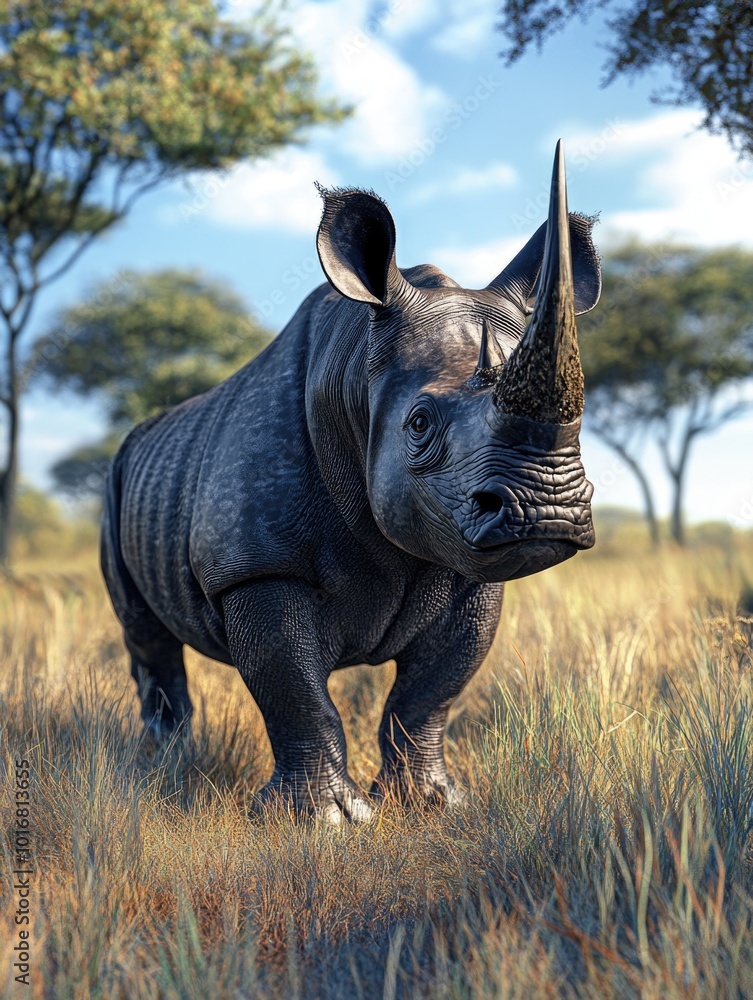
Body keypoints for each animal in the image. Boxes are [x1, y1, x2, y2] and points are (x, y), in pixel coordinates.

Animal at [101, 142, 601, 824]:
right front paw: (324, 822)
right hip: (116, 481)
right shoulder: (255, 566)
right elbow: (295, 691)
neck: (355, 374)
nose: (548, 510)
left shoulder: (470, 566)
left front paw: (430, 804)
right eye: (419, 423)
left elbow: (431, 691)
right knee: (146, 636)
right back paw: (166, 767)